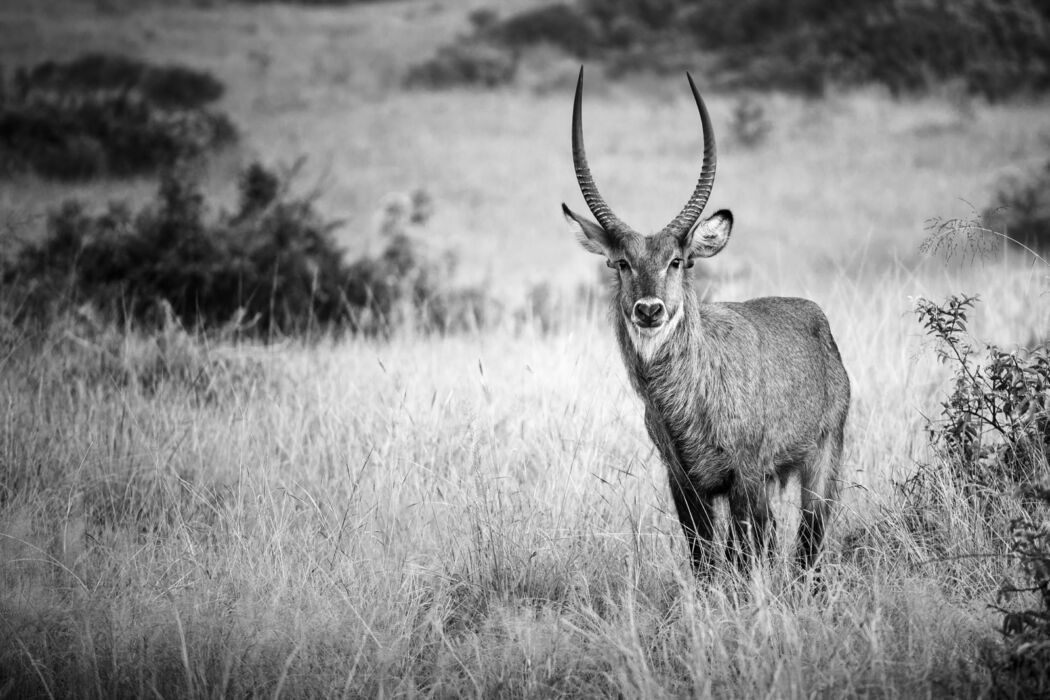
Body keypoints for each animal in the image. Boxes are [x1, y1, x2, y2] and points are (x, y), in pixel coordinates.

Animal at [562, 68, 850, 573]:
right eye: (621, 263)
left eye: (678, 261)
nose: (649, 310)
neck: (688, 400)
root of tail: (817, 320)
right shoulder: (684, 480)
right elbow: (704, 557)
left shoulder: (744, 473)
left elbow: (745, 552)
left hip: (821, 459)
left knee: (805, 541)